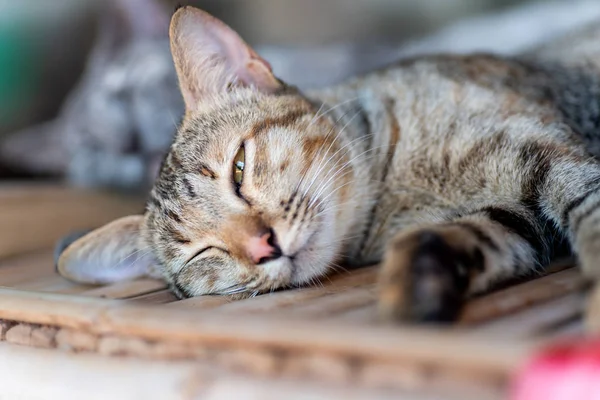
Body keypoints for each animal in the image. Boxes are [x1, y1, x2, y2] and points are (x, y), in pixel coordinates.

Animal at [54, 6, 600, 324]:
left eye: (238, 168)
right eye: (200, 253)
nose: (264, 246)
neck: (397, 186)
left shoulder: (550, 152)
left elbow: (589, 213)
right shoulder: (517, 218)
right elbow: (479, 235)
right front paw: (422, 276)